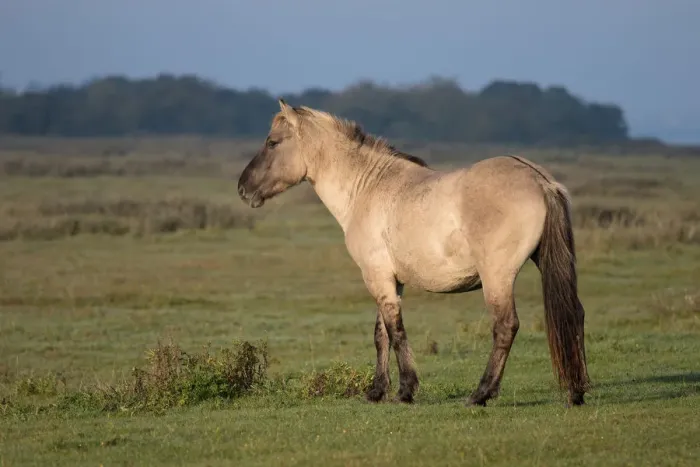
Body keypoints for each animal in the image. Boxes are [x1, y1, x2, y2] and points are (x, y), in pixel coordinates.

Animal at [237, 99, 590, 407]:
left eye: (272, 142)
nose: (242, 189)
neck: (366, 188)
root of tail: (541, 181)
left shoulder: (376, 276)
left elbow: (395, 331)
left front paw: (405, 390)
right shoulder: (391, 279)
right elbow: (381, 334)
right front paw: (376, 391)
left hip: (497, 277)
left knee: (505, 327)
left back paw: (480, 394)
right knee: (574, 313)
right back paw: (577, 391)